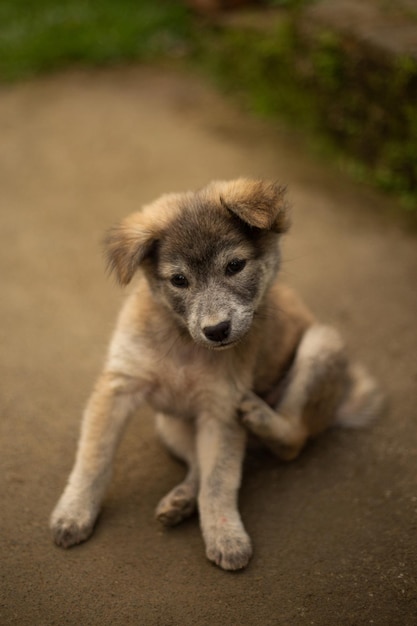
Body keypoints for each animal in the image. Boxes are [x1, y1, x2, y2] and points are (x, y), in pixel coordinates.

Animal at [50, 178, 382, 568]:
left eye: (235, 265)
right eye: (179, 280)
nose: (217, 330)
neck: (184, 345)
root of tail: (334, 409)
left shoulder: (222, 409)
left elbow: (219, 482)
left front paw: (226, 535)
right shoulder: (119, 386)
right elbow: (93, 459)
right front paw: (74, 512)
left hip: (321, 342)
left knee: (294, 440)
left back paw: (263, 418)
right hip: (169, 423)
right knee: (197, 464)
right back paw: (181, 500)